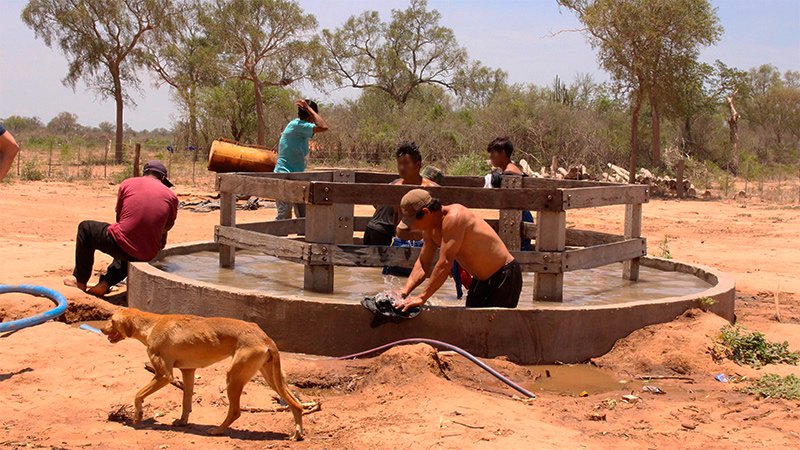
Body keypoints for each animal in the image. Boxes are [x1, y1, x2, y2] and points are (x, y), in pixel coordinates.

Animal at [102, 310, 306, 440]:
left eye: (111, 320)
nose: (102, 329)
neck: (151, 325)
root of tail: (264, 336)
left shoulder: (164, 375)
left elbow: (138, 395)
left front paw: (137, 416)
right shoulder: (188, 371)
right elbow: (186, 401)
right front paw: (182, 422)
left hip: (234, 377)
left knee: (235, 411)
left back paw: (218, 430)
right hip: (273, 379)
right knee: (296, 405)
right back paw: (298, 432)